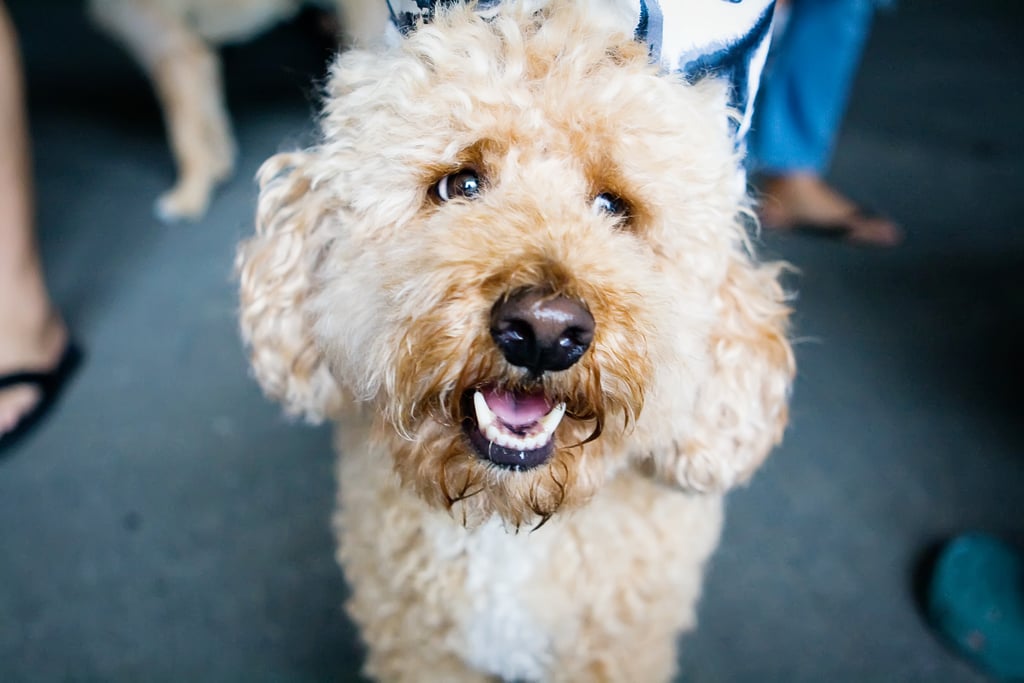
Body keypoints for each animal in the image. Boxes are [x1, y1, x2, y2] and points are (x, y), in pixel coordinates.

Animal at [87, 0, 385, 220]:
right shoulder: (199, 59)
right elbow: (209, 115)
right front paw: (218, 164)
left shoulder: (175, 51)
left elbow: (184, 135)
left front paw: (188, 196)